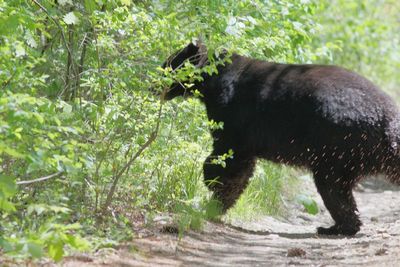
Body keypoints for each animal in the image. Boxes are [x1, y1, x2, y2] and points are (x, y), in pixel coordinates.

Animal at [161, 42, 400, 237]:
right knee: (339, 192)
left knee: (332, 187)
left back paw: (335, 228)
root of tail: (387, 118)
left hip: (337, 143)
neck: (214, 78)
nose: (154, 85)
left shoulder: (233, 113)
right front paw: (217, 202)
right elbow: (241, 166)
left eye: (167, 65)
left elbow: (228, 154)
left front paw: (212, 184)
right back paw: (338, 226)